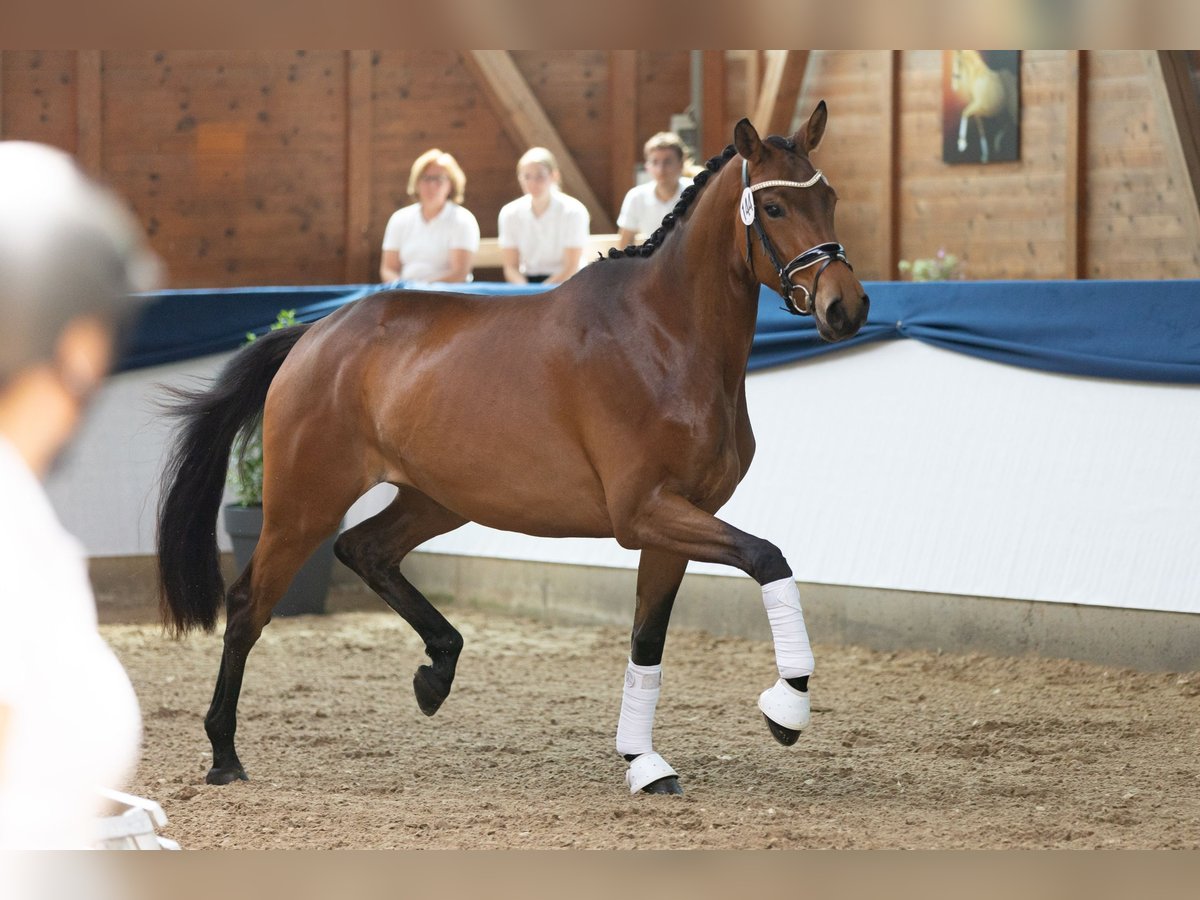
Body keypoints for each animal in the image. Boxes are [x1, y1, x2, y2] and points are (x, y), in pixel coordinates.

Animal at [162, 103, 873, 796]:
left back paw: (436, 671)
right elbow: (768, 558)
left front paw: (644, 763)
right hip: (304, 503)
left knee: (364, 549)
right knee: (250, 605)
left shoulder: (676, 522)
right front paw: (786, 709)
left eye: (830, 197)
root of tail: (315, 332)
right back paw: (224, 754)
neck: (666, 337)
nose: (847, 307)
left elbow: (648, 640)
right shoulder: (644, 512)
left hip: (439, 498)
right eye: (774, 208)